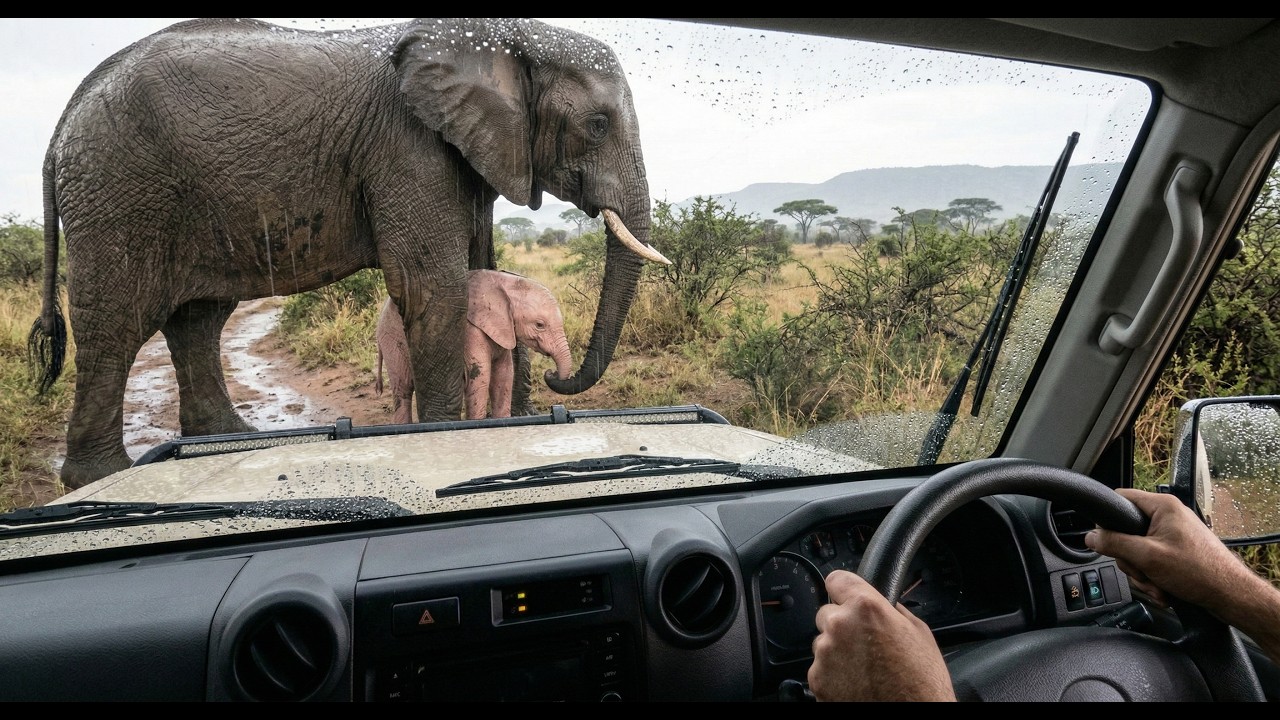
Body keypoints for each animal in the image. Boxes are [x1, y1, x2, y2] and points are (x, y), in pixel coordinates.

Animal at [376, 269, 572, 423]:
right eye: (540, 325)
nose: (550, 372)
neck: (505, 284)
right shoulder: (470, 328)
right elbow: (481, 375)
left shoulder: (503, 328)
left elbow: (504, 375)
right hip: (391, 338)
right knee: (403, 389)